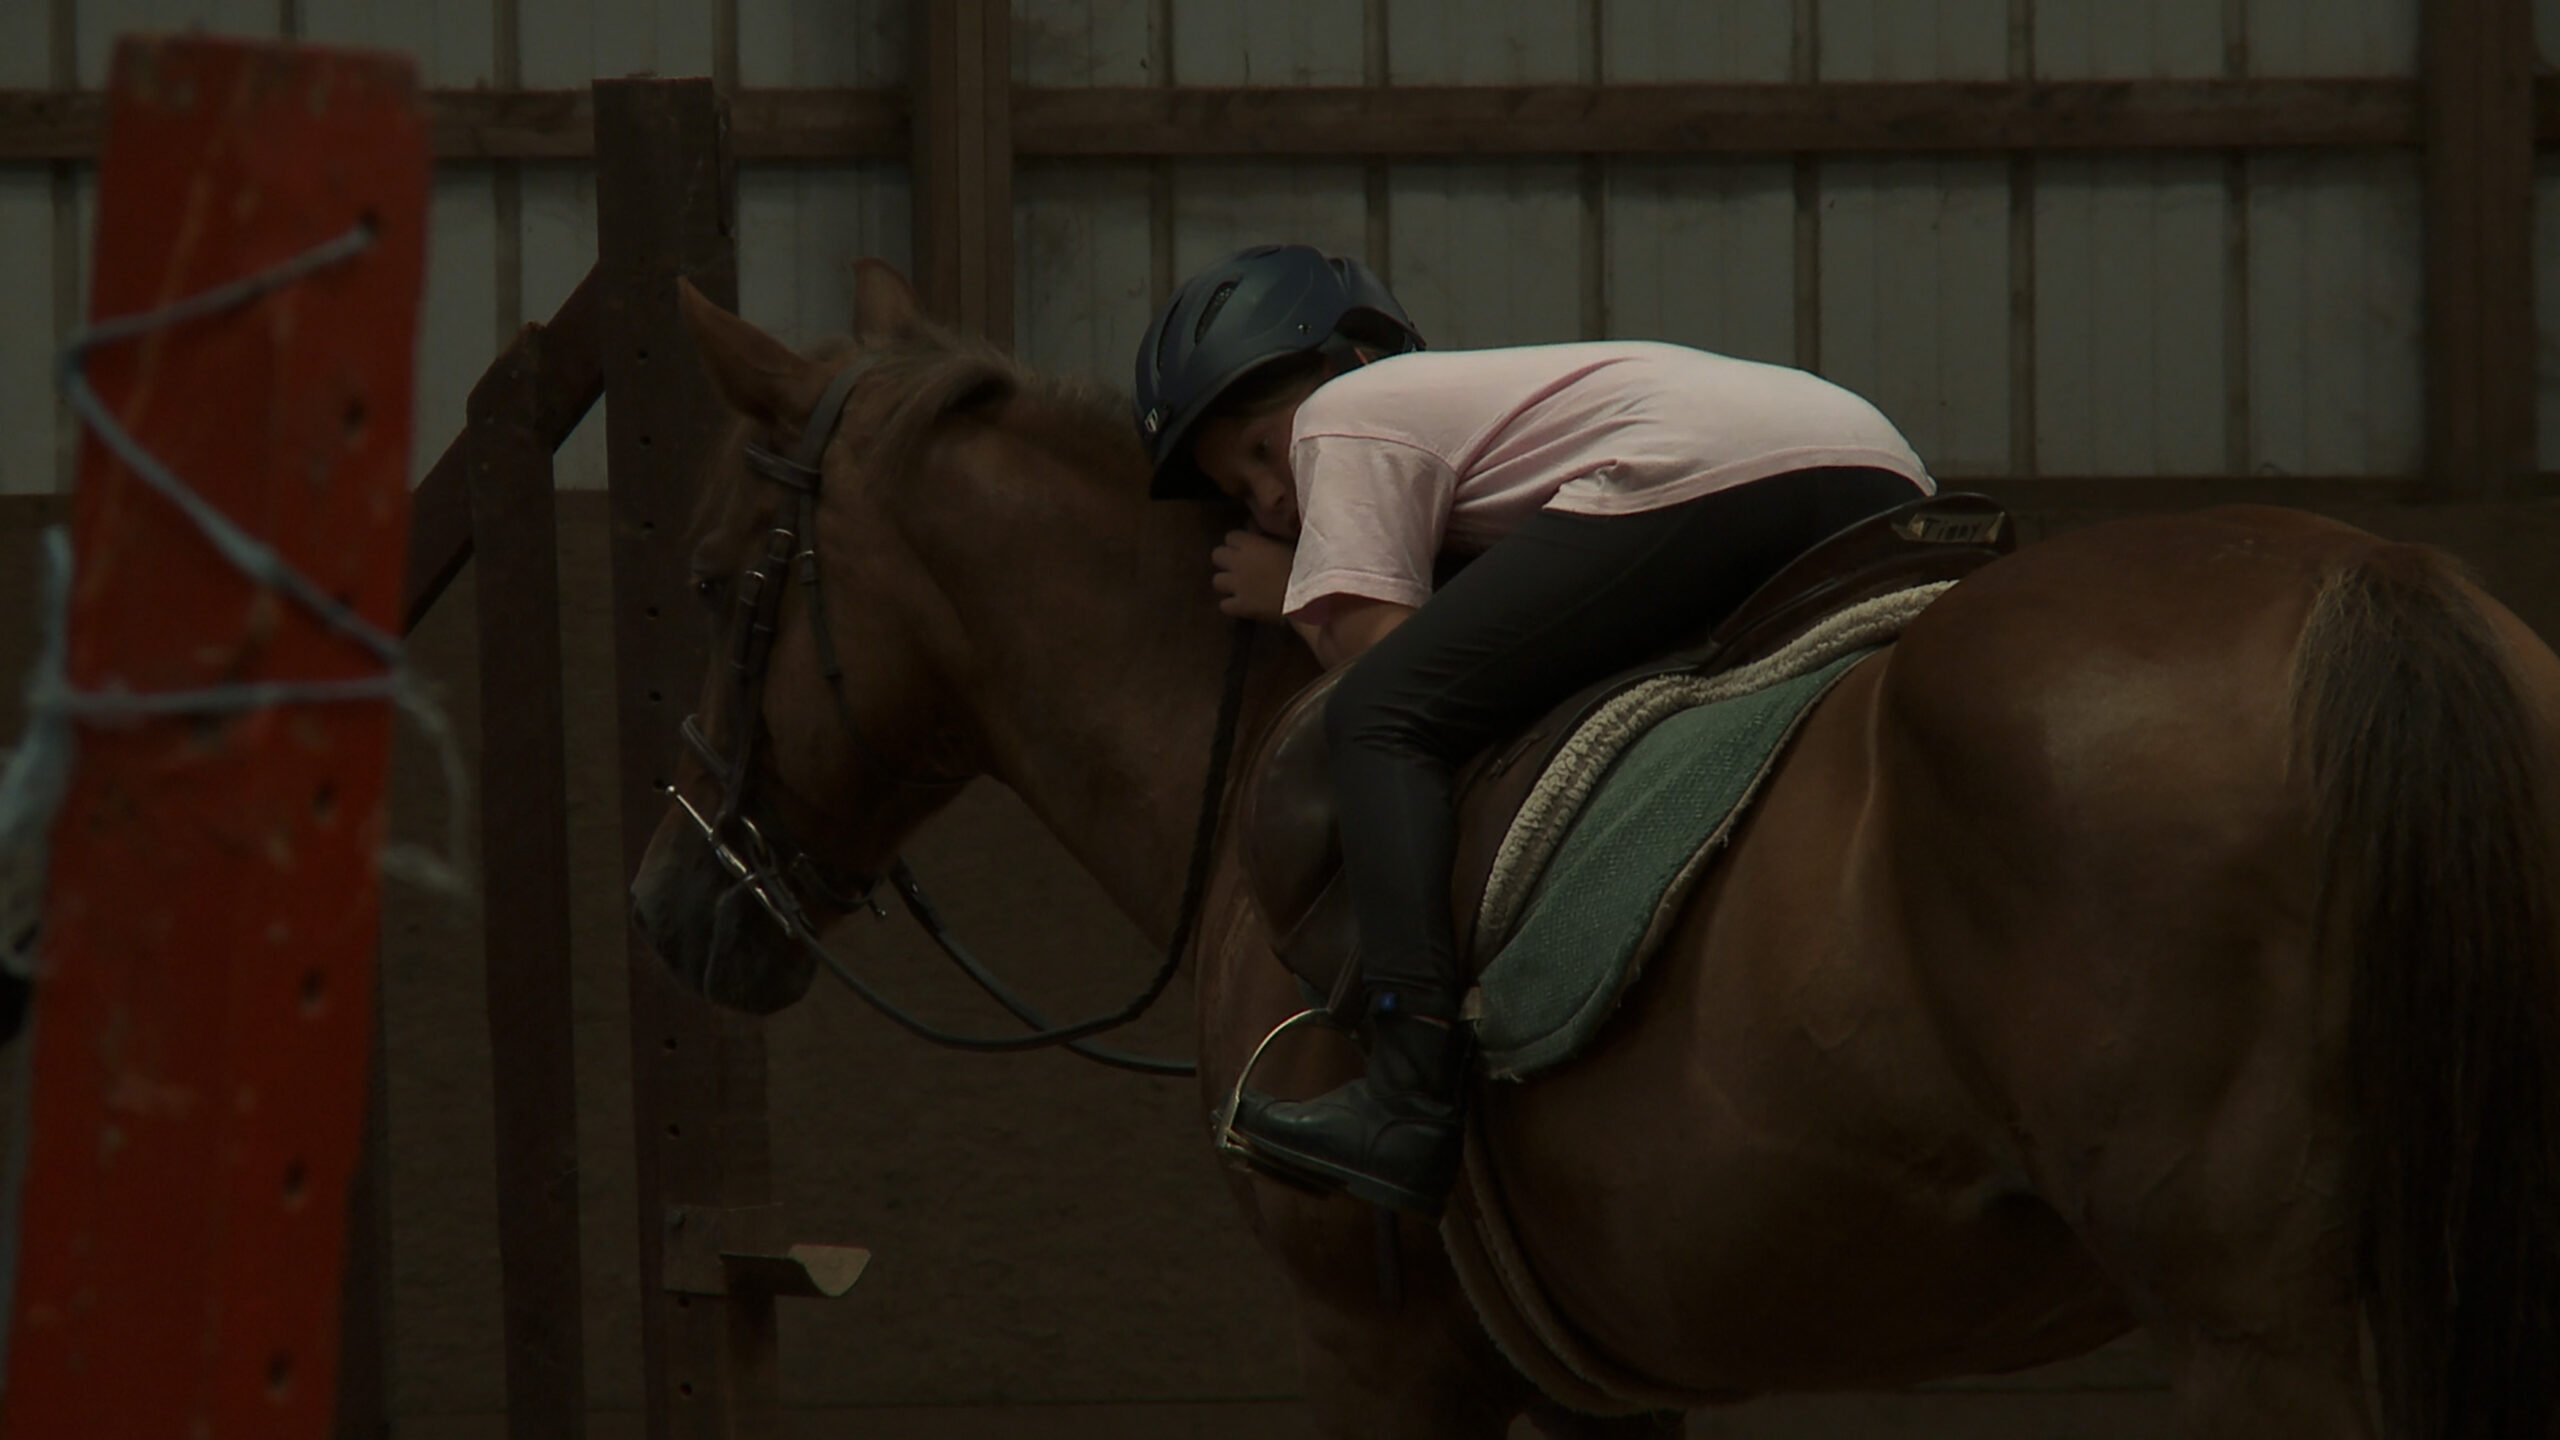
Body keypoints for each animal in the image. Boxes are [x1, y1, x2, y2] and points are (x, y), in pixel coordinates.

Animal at [627, 259, 2560, 1440]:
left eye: (719, 582)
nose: (665, 908)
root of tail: (2381, 586)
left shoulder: (1378, 1351)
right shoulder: (1601, 1369)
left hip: (2258, 1327)